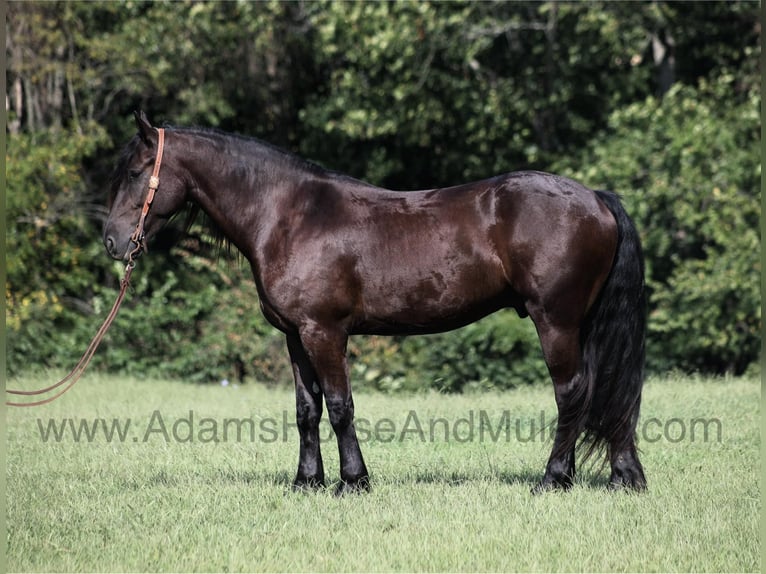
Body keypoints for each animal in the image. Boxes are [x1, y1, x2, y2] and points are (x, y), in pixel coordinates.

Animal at [104, 111, 647, 494]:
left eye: (134, 172)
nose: (112, 242)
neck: (288, 216)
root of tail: (595, 199)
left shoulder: (324, 332)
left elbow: (340, 405)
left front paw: (353, 481)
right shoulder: (296, 337)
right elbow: (307, 409)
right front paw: (307, 482)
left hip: (555, 320)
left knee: (572, 392)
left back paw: (553, 479)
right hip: (583, 323)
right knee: (604, 391)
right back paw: (622, 477)